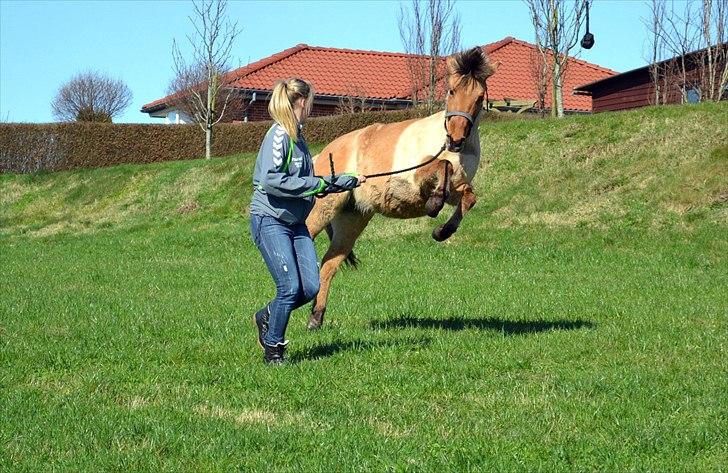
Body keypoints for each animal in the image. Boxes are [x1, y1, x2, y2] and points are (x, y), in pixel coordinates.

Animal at [302, 47, 494, 328]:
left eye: (479, 97)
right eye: (451, 90)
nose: (456, 138)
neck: (452, 147)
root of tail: (321, 155)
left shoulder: (458, 188)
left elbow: (468, 198)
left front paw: (441, 232)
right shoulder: (417, 176)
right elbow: (443, 165)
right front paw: (433, 206)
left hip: (352, 220)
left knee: (328, 264)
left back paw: (315, 318)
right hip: (323, 209)